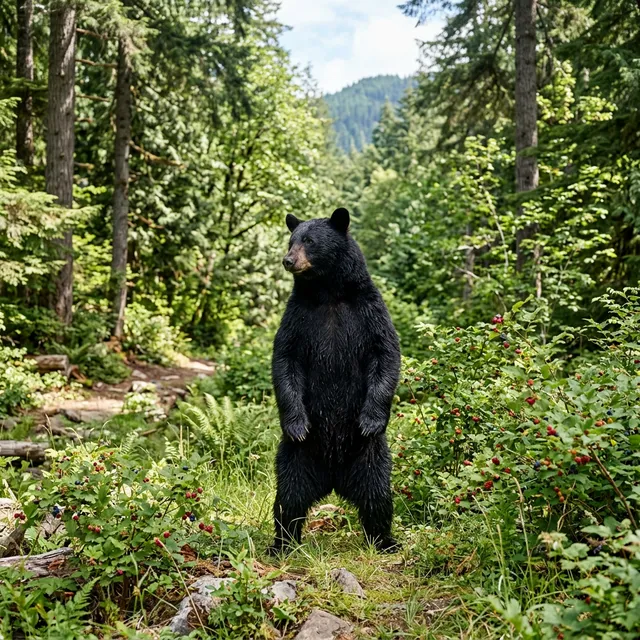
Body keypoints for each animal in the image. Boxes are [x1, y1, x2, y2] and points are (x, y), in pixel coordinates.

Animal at [270, 207, 401, 553]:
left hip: (369, 456)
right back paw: (282, 543)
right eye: (291, 239)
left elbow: (385, 354)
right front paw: (297, 425)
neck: (328, 293)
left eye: (310, 241)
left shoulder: (369, 311)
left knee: (377, 496)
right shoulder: (298, 317)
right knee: (288, 500)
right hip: (296, 458)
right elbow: (285, 359)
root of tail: (331, 479)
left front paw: (370, 420)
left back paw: (385, 541)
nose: (289, 260)